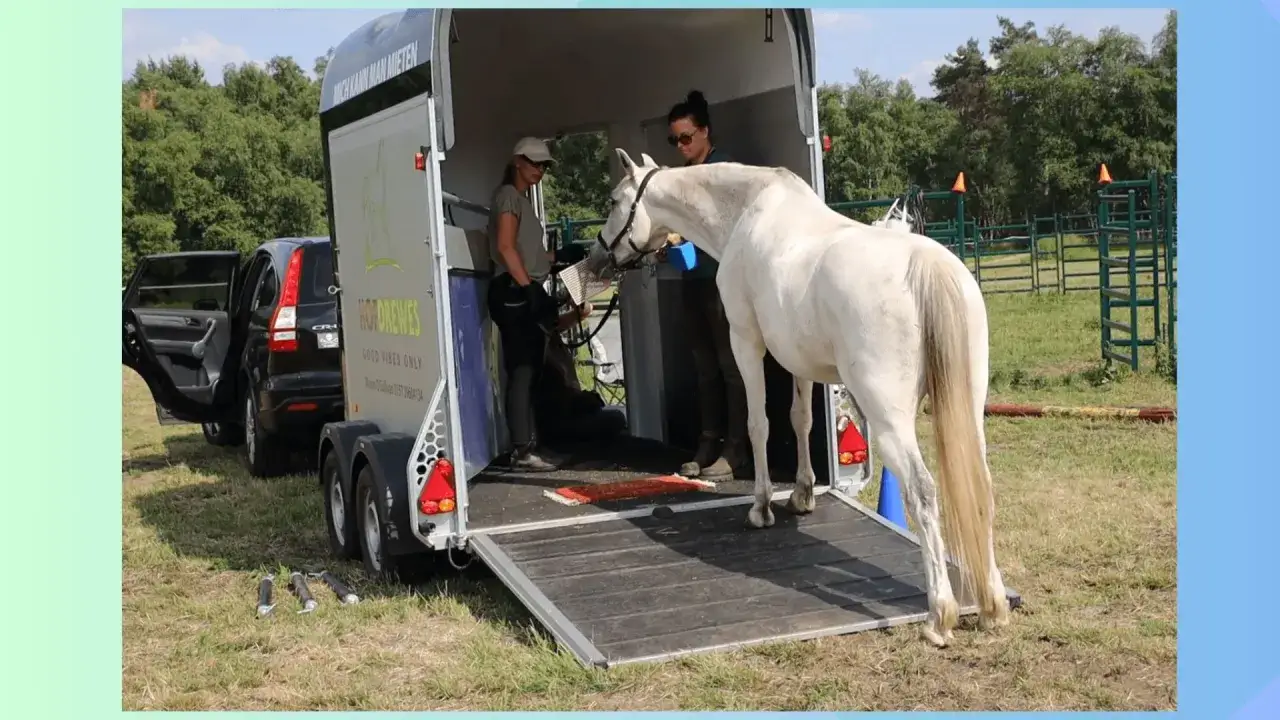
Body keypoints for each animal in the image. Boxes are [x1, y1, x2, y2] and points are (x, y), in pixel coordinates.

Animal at [585, 149, 1010, 646]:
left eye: (614, 200)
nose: (598, 257)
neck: (746, 212)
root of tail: (928, 266)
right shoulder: (798, 360)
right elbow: (801, 418)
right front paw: (803, 495)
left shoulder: (746, 343)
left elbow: (759, 424)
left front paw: (762, 507)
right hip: (969, 410)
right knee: (980, 486)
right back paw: (993, 604)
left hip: (889, 420)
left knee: (922, 491)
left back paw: (939, 614)